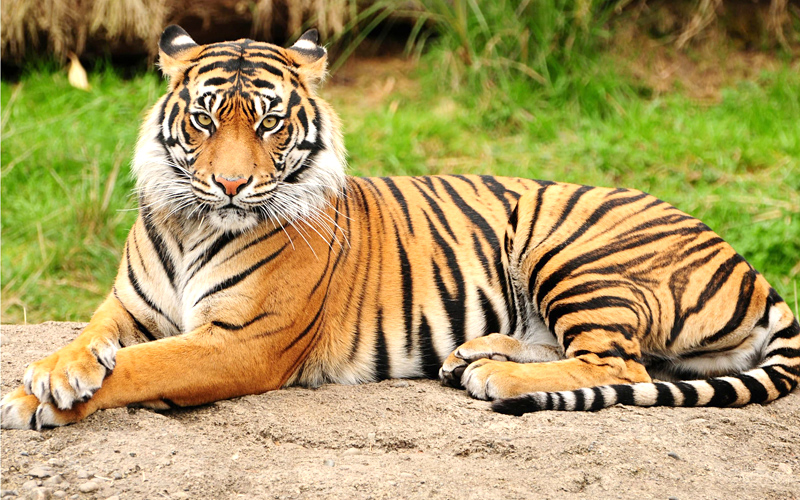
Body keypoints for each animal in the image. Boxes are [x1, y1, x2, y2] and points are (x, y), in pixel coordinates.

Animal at [1, 25, 798, 430]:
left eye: (268, 122)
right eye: (204, 119)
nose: (229, 185)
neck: (194, 222)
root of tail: (751, 268)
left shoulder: (241, 341)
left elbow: (144, 366)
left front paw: (31, 399)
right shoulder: (128, 307)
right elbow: (93, 339)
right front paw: (53, 372)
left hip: (570, 247)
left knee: (621, 365)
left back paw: (496, 377)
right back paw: (473, 355)